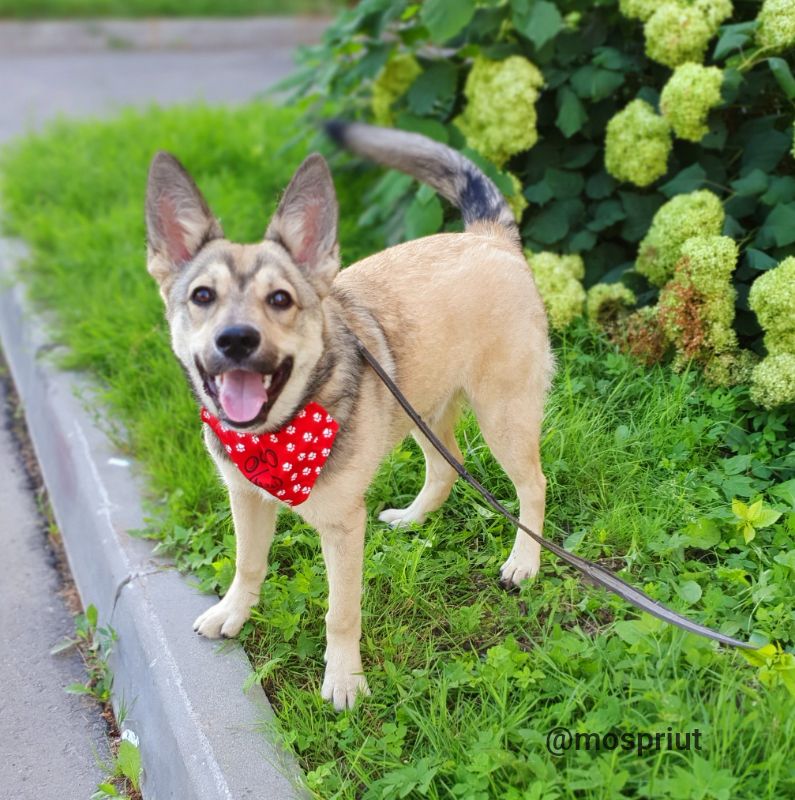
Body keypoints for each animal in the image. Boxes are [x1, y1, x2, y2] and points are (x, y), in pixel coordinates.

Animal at [145, 122, 552, 708]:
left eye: (280, 299)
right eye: (202, 295)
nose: (236, 340)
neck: (276, 436)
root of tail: (487, 236)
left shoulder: (342, 529)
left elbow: (340, 613)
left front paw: (343, 679)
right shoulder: (245, 497)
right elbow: (248, 563)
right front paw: (233, 612)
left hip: (503, 415)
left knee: (533, 487)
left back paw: (525, 561)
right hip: (419, 410)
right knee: (445, 467)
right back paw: (414, 518)